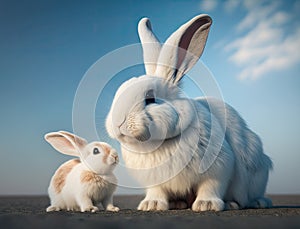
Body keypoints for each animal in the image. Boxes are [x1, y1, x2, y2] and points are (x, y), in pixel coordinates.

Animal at [106, 14, 274, 211]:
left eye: (150, 99)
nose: (117, 123)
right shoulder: (155, 181)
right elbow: (157, 191)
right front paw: (151, 205)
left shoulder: (219, 168)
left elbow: (211, 186)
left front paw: (206, 205)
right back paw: (178, 203)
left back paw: (251, 203)